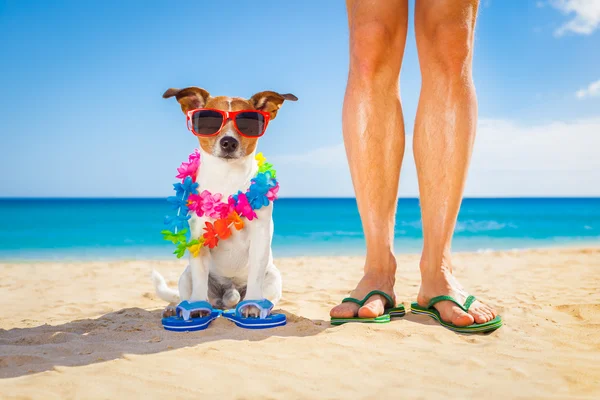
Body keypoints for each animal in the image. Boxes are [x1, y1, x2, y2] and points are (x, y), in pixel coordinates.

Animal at [152, 86, 298, 318]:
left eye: (247, 123)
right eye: (209, 121)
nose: (229, 142)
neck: (227, 178)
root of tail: (226, 296)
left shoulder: (260, 236)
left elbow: (256, 274)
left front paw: (253, 305)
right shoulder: (199, 239)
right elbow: (200, 279)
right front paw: (196, 306)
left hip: (274, 278)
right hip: (186, 277)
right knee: (187, 294)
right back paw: (175, 307)